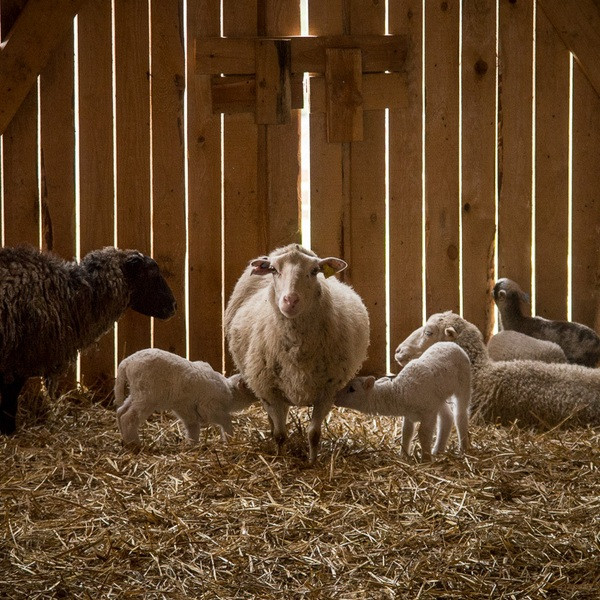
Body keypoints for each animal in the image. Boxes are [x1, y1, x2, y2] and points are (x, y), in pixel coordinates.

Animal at [0, 244, 177, 434]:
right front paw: (9, 431)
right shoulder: (20, 359)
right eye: (152, 274)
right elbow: (10, 398)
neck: (70, 293)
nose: (174, 306)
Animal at [114, 348, 258, 448]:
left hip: (136, 393)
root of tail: (126, 362)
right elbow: (226, 421)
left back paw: (125, 440)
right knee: (128, 417)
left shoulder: (187, 410)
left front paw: (191, 445)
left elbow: (193, 427)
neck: (231, 394)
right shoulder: (209, 407)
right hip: (147, 396)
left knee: (120, 411)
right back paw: (135, 443)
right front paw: (230, 440)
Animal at [225, 243, 370, 464]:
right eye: (274, 270)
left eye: (314, 271)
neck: (297, 350)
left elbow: (314, 434)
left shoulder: (327, 390)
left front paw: (312, 462)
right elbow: (280, 435)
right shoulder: (269, 390)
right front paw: (280, 459)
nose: (290, 300)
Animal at [335, 342, 471, 461]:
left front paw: (426, 460)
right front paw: (403, 456)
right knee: (447, 417)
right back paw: (438, 450)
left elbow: (423, 434)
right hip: (439, 397)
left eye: (352, 389)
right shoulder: (410, 414)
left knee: (459, 415)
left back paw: (463, 448)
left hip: (464, 383)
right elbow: (407, 432)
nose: (335, 398)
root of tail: (452, 343)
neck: (399, 391)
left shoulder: (428, 413)